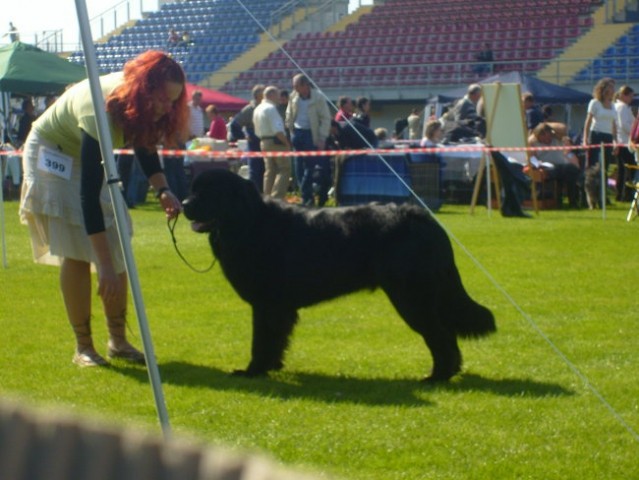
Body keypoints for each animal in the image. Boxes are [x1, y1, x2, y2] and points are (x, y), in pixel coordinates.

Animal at [182, 169, 498, 382]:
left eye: (208, 192)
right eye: (192, 189)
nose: (184, 204)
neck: (247, 223)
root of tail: (422, 218)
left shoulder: (267, 305)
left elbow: (261, 340)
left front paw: (253, 370)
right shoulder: (278, 308)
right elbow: (275, 340)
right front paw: (271, 366)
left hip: (411, 297)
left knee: (440, 335)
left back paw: (437, 377)